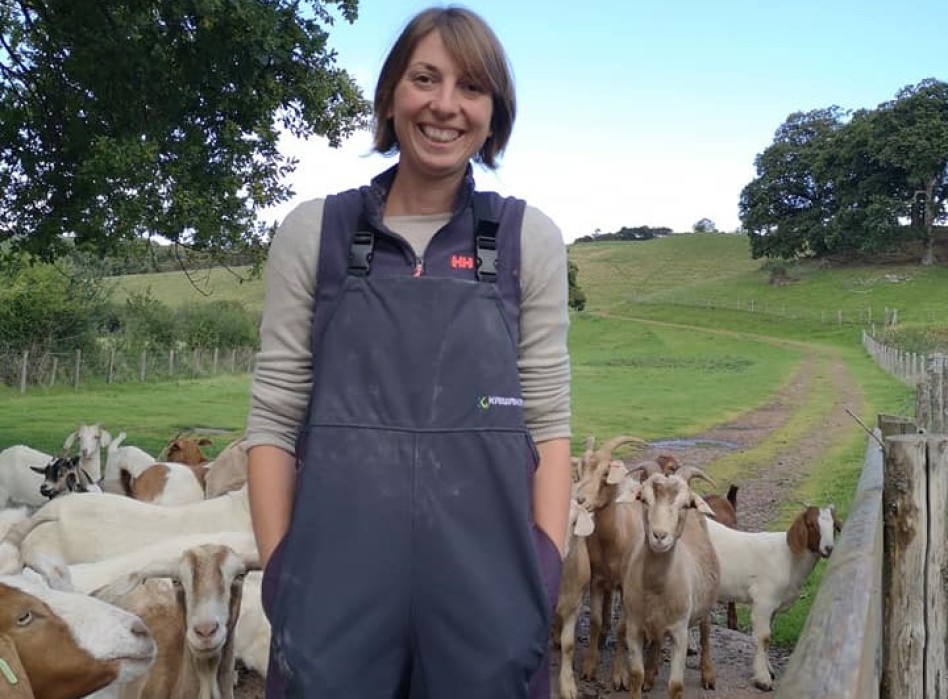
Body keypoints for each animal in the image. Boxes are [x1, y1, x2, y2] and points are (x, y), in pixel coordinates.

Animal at [616, 464, 720, 699]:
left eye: (684, 505)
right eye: (644, 500)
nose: (659, 536)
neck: (655, 587)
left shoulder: (680, 632)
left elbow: (676, 685)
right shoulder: (634, 626)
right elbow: (636, 675)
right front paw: (643, 678)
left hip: (705, 606)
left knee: (706, 633)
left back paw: (708, 674)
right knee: (656, 640)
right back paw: (651, 673)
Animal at [704, 506, 844, 692]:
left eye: (834, 525)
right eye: (811, 525)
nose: (829, 548)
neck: (788, 558)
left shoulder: (773, 605)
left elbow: (768, 637)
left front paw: (769, 669)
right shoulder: (763, 601)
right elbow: (764, 638)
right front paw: (762, 678)